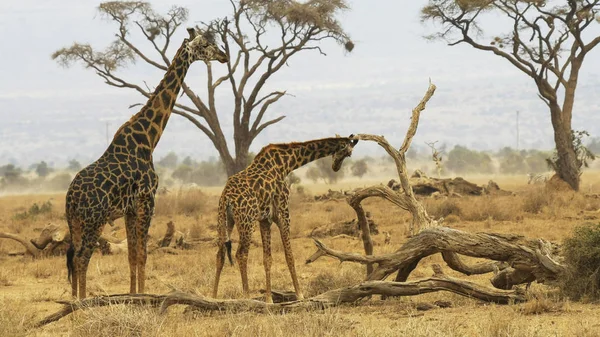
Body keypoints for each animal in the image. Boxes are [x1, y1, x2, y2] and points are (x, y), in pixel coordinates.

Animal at [66, 27, 227, 298]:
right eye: (206, 44)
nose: (224, 56)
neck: (149, 140)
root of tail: (71, 197)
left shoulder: (130, 209)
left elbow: (132, 256)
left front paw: (134, 295)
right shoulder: (147, 201)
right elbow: (143, 255)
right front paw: (144, 296)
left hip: (74, 222)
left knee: (73, 258)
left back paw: (75, 300)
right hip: (94, 220)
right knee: (81, 258)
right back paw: (82, 302)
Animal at [213, 135, 358, 300]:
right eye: (349, 153)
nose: (335, 167)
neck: (286, 163)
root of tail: (226, 197)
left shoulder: (265, 219)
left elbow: (267, 259)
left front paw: (269, 299)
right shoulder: (283, 212)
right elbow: (289, 256)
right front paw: (300, 295)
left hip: (225, 220)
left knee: (220, 254)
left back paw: (213, 297)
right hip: (246, 221)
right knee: (241, 254)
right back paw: (247, 297)